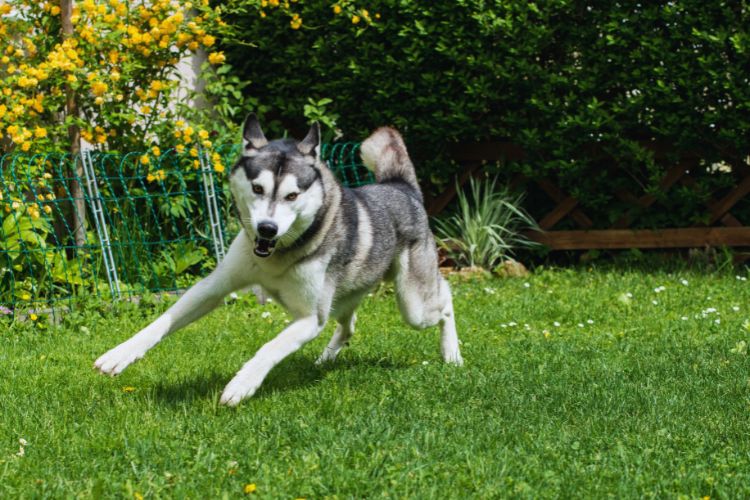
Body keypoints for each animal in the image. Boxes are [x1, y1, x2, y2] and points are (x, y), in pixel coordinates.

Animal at [95, 115, 464, 404]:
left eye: (292, 195)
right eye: (257, 189)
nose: (267, 229)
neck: (277, 255)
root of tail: (402, 186)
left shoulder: (309, 319)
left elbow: (269, 348)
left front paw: (242, 384)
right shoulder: (214, 286)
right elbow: (164, 320)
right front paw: (119, 354)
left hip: (413, 304)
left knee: (445, 300)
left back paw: (452, 353)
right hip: (344, 297)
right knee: (349, 325)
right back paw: (326, 359)